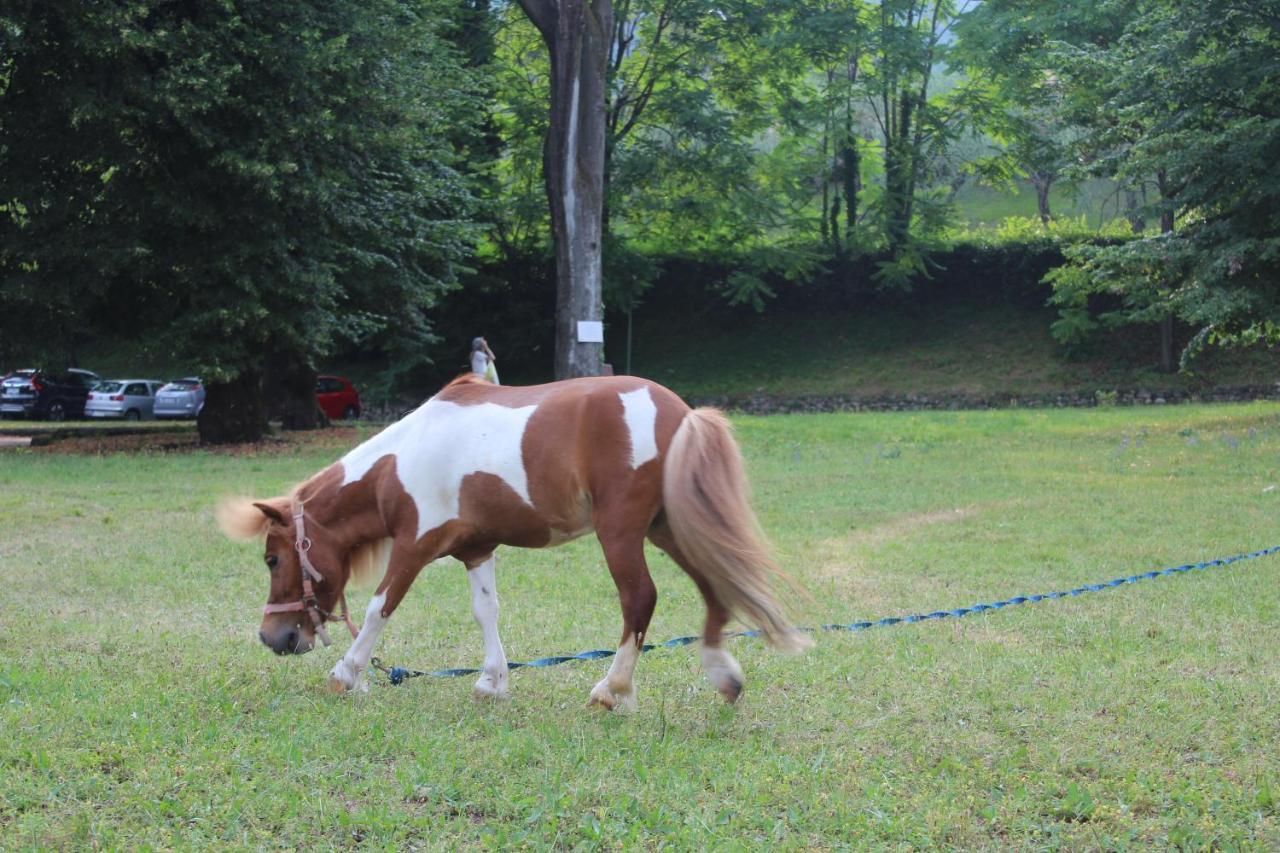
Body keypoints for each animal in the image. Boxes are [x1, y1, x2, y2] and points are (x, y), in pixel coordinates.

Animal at [216, 376, 803, 706]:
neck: (398, 464)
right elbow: (487, 611)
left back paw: (612, 691)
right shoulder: (476, 550)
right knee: (712, 585)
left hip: (622, 533)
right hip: (669, 527)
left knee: (640, 598)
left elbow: (381, 606)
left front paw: (346, 675)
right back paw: (723, 676)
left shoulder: (414, 546)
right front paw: (492, 682)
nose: (272, 638)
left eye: (272, 558)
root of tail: (681, 414)